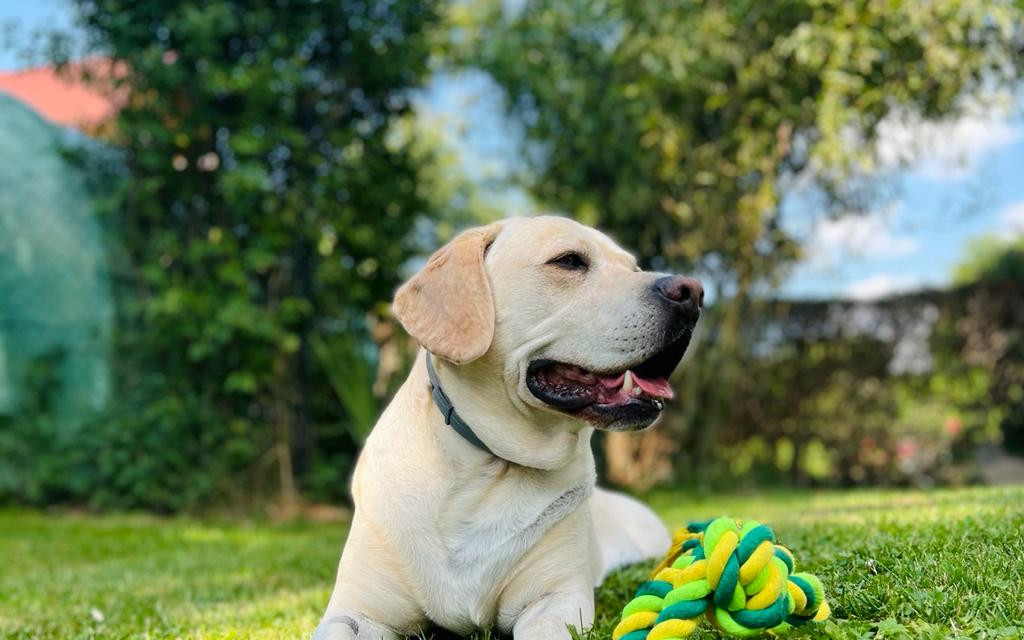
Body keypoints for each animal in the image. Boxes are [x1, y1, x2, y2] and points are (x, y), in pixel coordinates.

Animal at [315, 216, 704, 638]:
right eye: (569, 260)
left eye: (634, 268)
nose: (693, 293)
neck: (488, 467)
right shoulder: (354, 610)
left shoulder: (558, 598)